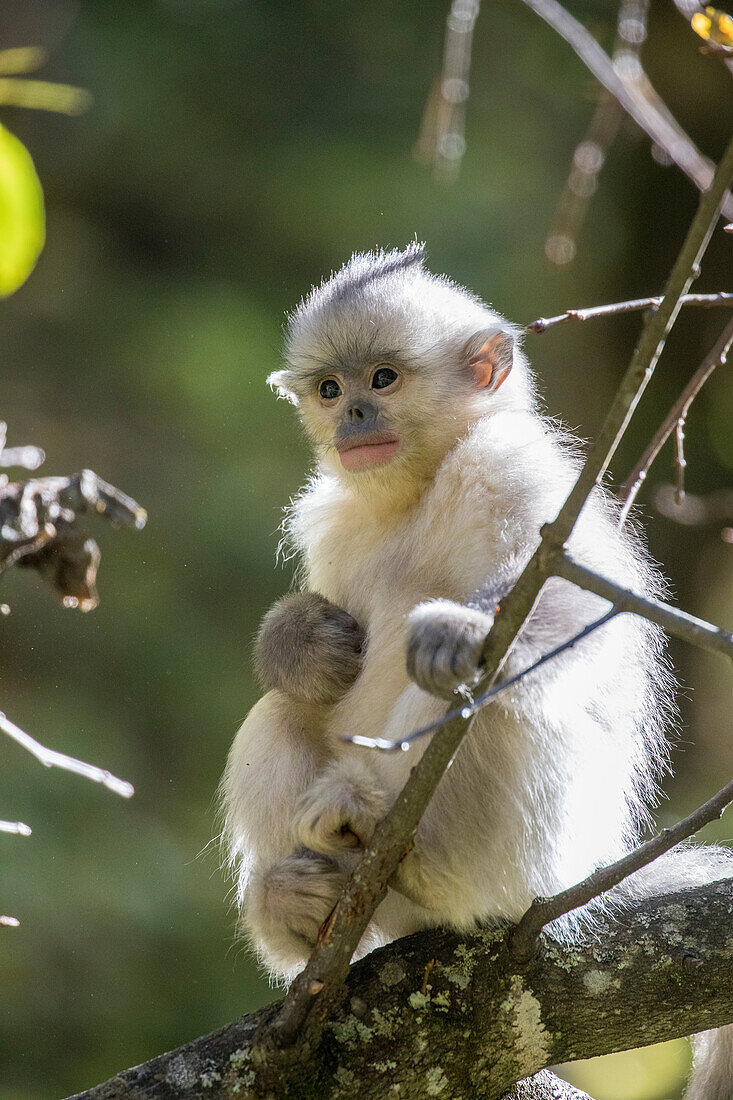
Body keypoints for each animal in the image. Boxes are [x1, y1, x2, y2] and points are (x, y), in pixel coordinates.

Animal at [222, 249, 730, 1100]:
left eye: (383, 378)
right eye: (329, 388)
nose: (352, 415)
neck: (417, 489)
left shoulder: (515, 468)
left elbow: (581, 598)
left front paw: (458, 629)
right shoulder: (333, 519)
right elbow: (307, 659)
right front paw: (301, 644)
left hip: (523, 861)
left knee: (488, 700)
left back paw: (391, 837)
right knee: (277, 711)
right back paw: (298, 903)